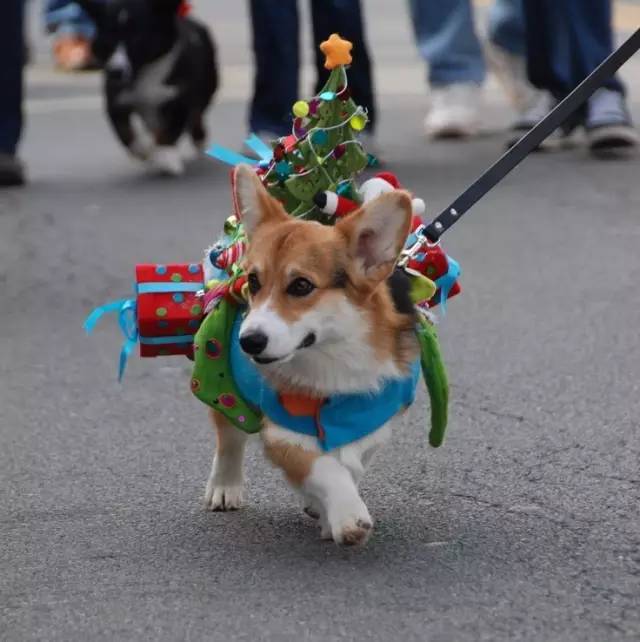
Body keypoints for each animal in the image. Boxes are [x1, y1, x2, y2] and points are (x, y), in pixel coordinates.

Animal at [75, 0, 218, 174]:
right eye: (108, 41)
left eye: (137, 39)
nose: (116, 71)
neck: (146, 72)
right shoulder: (116, 101)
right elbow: (124, 131)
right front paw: (143, 151)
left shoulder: (180, 98)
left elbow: (172, 129)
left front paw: (165, 155)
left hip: (206, 88)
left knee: (196, 116)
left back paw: (199, 141)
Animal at [205, 166, 420, 544]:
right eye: (254, 282)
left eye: (301, 286)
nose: (248, 342)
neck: (333, 358)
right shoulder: (282, 432)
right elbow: (323, 468)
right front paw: (348, 515)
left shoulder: (374, 421)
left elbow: (350, 463)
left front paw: (325, 508)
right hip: (224, 384)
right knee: (228, 436)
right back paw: (224, 486)